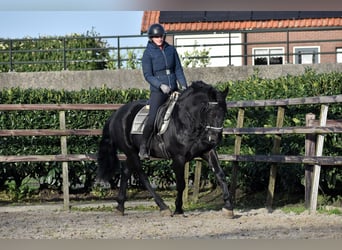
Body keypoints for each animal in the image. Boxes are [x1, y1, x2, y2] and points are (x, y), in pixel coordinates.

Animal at [97, 80, 234, 217]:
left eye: (224, 112)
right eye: (209, 111)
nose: (215, 138)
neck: (187, 121)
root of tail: (116, 114)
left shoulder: (207, 151)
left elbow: (220, 175)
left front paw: (228, 207)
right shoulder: (178, 158)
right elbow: (181, 184)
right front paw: (178, 209)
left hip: (132, 152)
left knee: (125, 171)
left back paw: (120, 207)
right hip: (131, 152)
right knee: (142, 176)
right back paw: (163, 207)